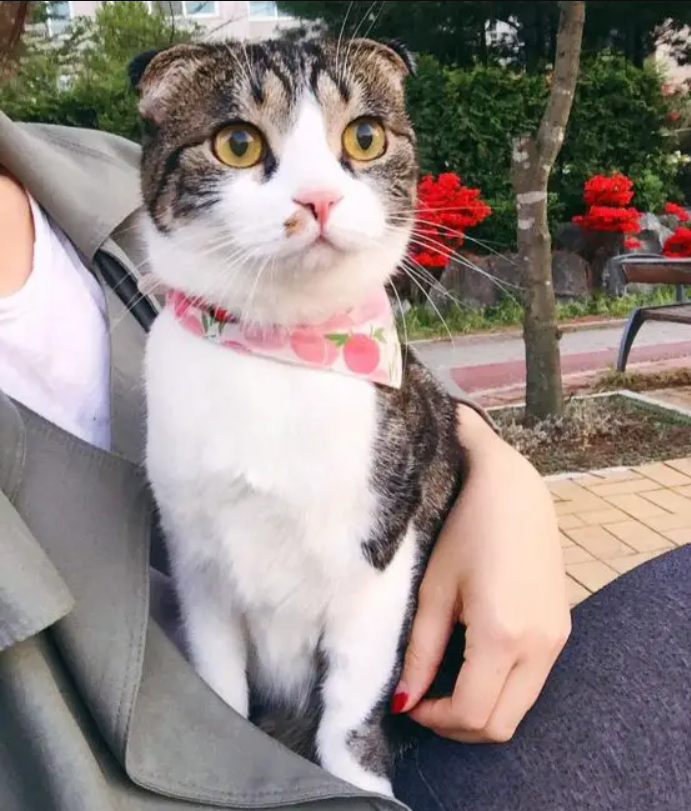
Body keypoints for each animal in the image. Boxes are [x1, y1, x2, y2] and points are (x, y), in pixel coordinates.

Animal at [131, 35, 464, 796]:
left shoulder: (380, 559)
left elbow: (351, 701)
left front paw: (362, 784)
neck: (282, 350)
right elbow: (218, 678)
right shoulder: (199, 565)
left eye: (365, 137)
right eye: (237, 143)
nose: (318, 197)